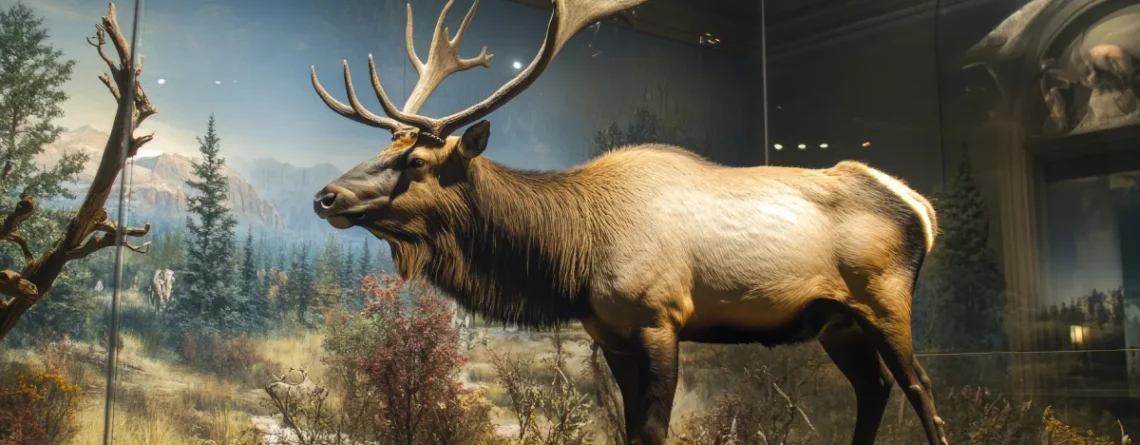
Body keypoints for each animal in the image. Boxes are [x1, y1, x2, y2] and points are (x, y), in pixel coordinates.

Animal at [308, 0, 949, 444]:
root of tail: (922, 207)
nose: (326, 197)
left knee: (920, 387)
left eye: (416, 161)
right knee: (874, 388)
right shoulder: (608, 332)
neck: (571, 258)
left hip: (884, 298)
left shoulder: (660, 316)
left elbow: (652, 430)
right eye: (386, 150)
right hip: (837, 320)